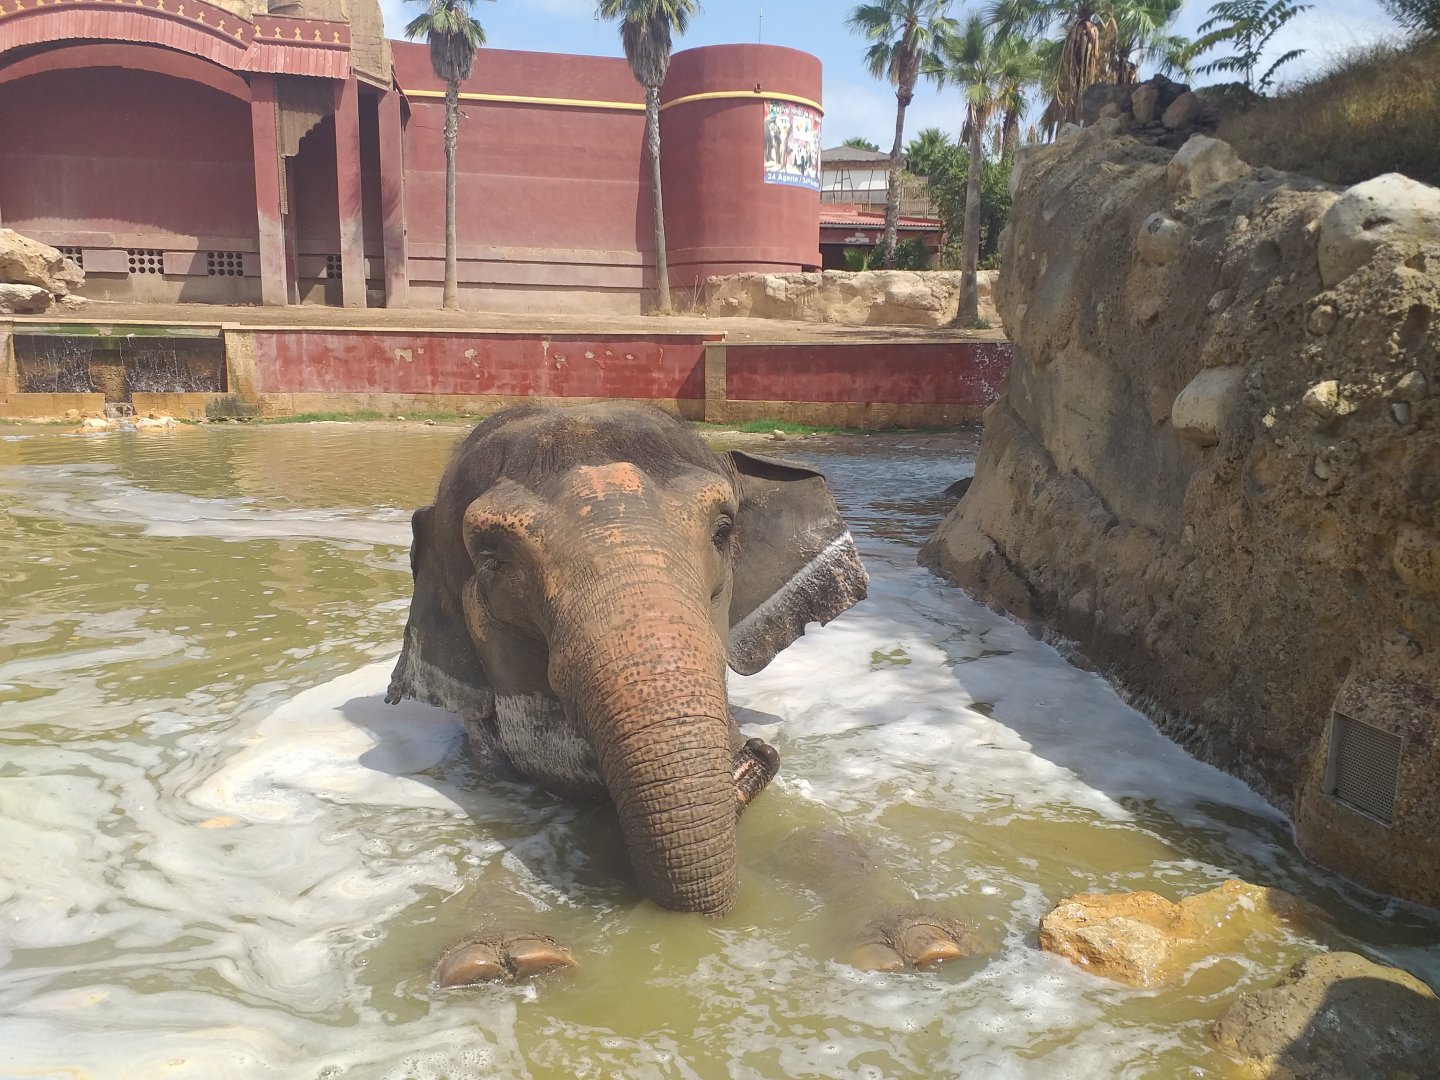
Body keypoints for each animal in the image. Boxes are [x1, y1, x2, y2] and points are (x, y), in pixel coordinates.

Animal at [387, 403, 978, 985]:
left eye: (723, 531)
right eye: (491, 557)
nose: (758, 753)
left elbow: (809, 835)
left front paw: (921, 944)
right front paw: (499, 958)